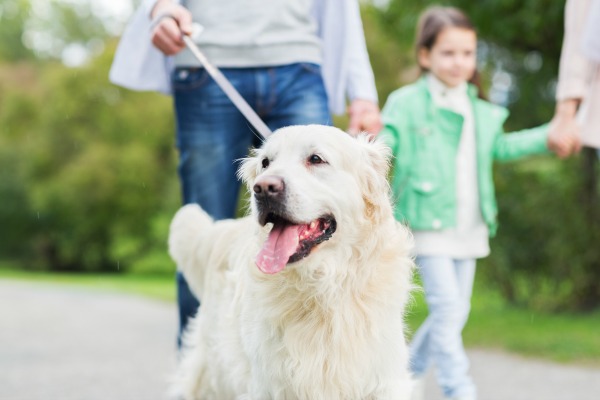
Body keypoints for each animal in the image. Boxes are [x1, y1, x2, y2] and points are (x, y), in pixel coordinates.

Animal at [166, 125, 414, 400]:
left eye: (316, 159)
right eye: (265, 163)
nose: (263, 188)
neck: (322, 289)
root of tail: (224, 229)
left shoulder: (383, 380)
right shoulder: (269, 385)